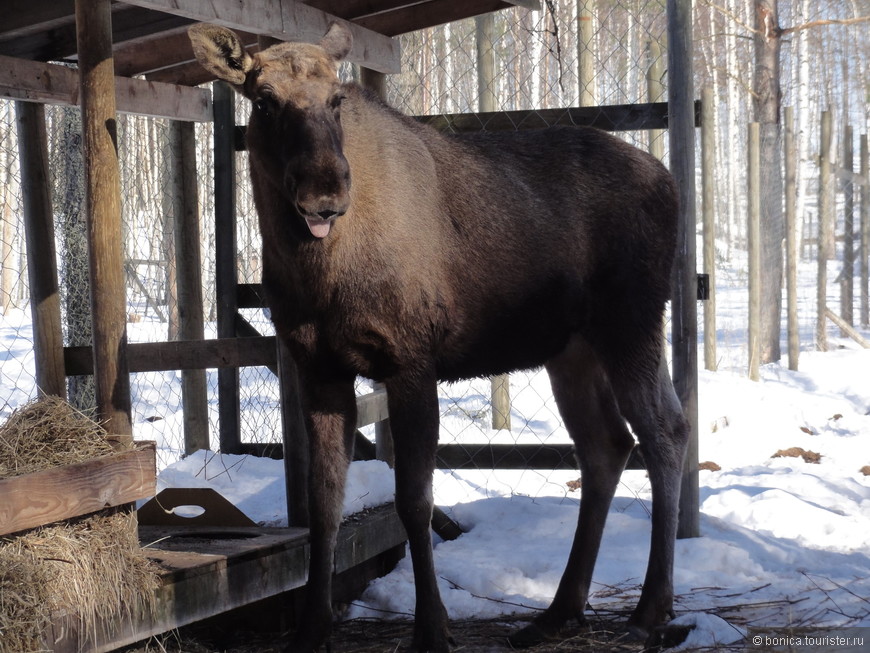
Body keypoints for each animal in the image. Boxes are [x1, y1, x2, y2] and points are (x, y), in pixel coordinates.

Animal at [189, 20, 688, 652]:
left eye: (336, 100)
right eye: (263, 100)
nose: (325, 193)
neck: (316, 269)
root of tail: (670, 181)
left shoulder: (411, 359)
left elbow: (415, 500)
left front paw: (433, 627)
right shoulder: (318, 367)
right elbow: (324, 506)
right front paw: (312, 628)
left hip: (632, 321)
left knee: (664, 433)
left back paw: (650, 609)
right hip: (571, 349)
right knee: (608, 445)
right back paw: (559, 610)